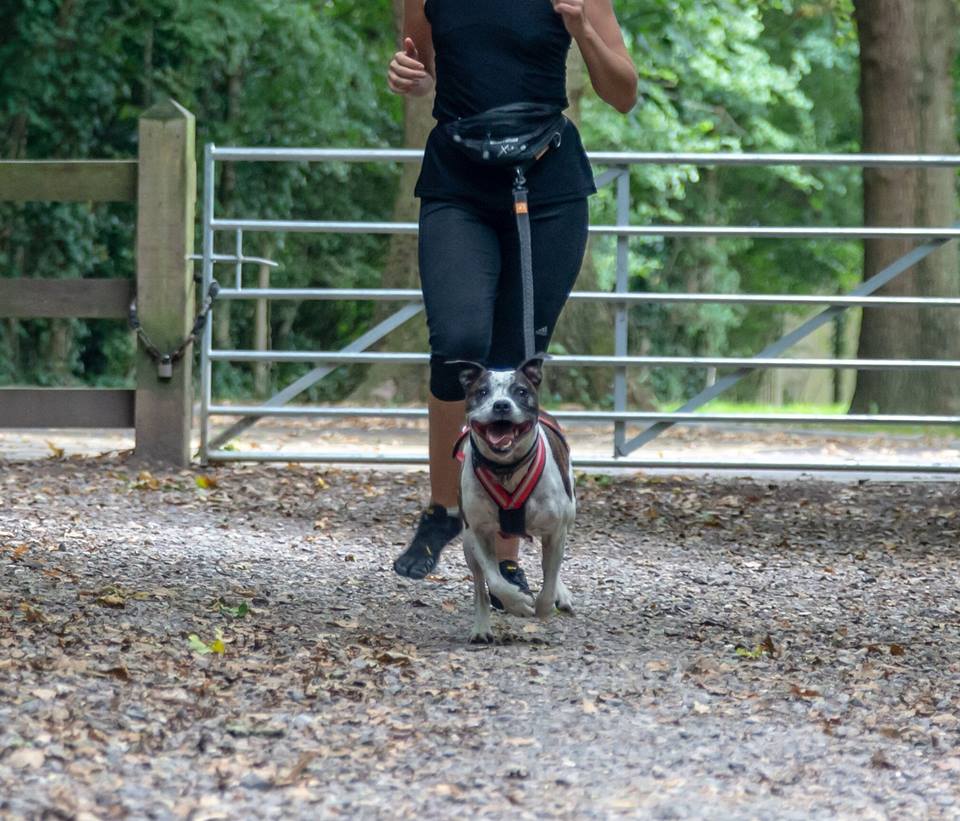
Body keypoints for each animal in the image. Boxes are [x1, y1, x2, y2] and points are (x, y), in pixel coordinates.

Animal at [454, 356, 572, 644]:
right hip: (468, 546)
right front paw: (518, 604)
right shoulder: (478, 532)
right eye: (482, 392)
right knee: (480, 586)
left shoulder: (556, 530)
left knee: (551, 565)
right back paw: (481, 628)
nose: (501, 405)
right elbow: (495, 580)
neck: (506, 468)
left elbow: (550, 575)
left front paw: (544, 606)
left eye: (520, 391)